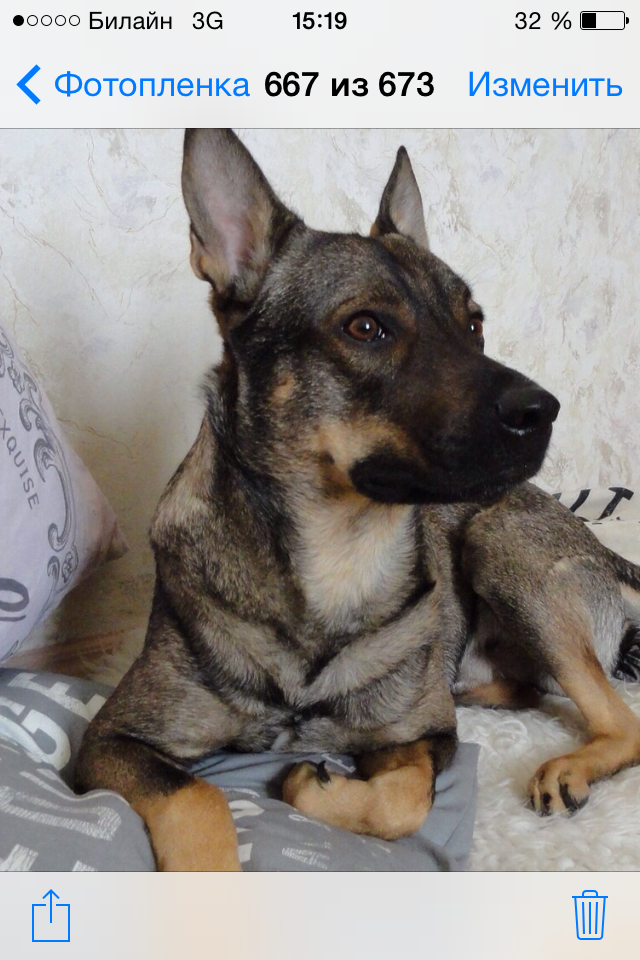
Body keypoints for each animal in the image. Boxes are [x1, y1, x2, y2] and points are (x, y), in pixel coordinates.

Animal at [77, 129, 640, 871]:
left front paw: (311, 780)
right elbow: (197, 797)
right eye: (366, 328)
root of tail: (599, 549)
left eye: (474, 325)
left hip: (500, 545)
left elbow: (402, 798)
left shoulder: (420, 739)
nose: (544, 412)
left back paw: (563, 759)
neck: (336, 556)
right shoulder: (113, 739)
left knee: (618, 721)